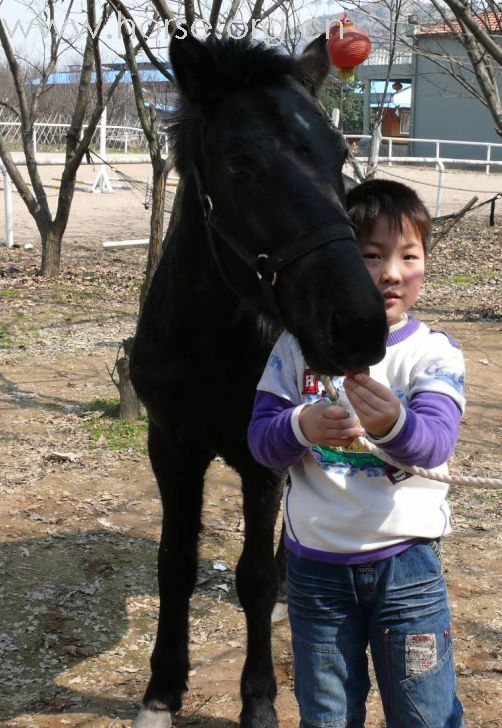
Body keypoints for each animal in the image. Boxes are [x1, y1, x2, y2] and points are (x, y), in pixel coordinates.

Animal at [130, 29, 388, 728]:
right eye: (240, 163)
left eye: (339, 153)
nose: (360, 325)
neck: (209, 343)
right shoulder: (171, 448)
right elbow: (174, 564)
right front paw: (162, 689)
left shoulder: (262, 460)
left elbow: (252, 578)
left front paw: (259, 701)